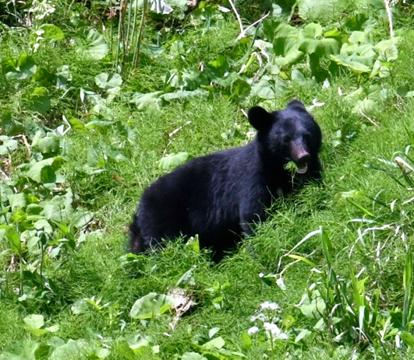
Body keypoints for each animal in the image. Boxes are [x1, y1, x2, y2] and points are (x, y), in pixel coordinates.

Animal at [128, 100, 322, 258]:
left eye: (307, 135)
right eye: (286, 139)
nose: (303, 157)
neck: (278, 170)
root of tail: (140, 204)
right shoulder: (253, 180)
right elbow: (253, 215)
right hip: (163, 218)